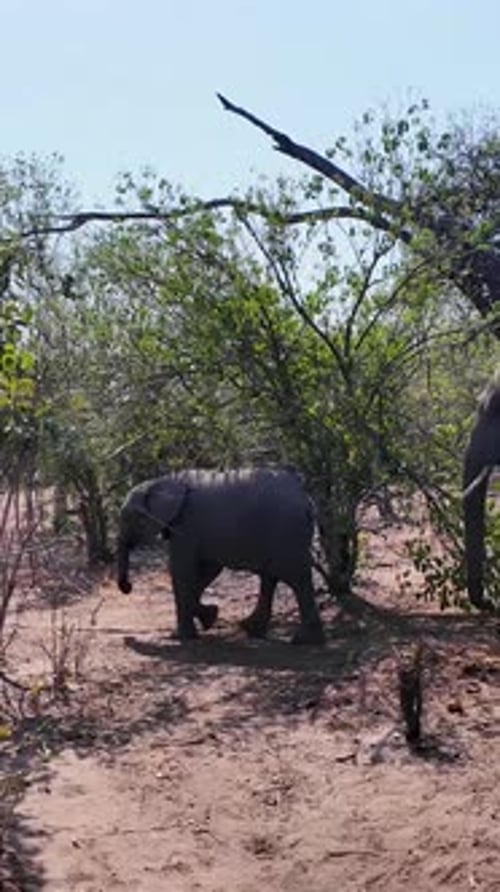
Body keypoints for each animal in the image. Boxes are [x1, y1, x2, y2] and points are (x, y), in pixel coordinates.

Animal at [116, 467, 325, 645]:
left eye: (126, 518)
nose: (128, 587)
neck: (164, 480)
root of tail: (305, 498)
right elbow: (206, 571)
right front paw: (210, 617)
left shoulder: (187, 526)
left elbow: (182, 570)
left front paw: (179, 636)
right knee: (271, 576)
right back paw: (252, 629)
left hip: (286, 533)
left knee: (296, 578)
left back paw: (304, 640)